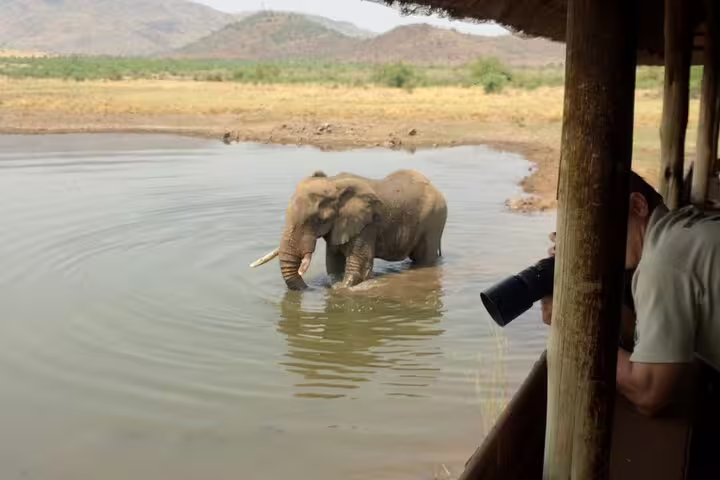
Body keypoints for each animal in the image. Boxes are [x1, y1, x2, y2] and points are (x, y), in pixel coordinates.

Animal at [251, 169, 448, 290]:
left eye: (318, 220)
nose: (308, 288)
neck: (333, 184)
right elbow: (333, 264)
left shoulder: (367, 224)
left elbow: (357, 267)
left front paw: (342, 290)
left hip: (434, 220)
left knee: (423, 259)